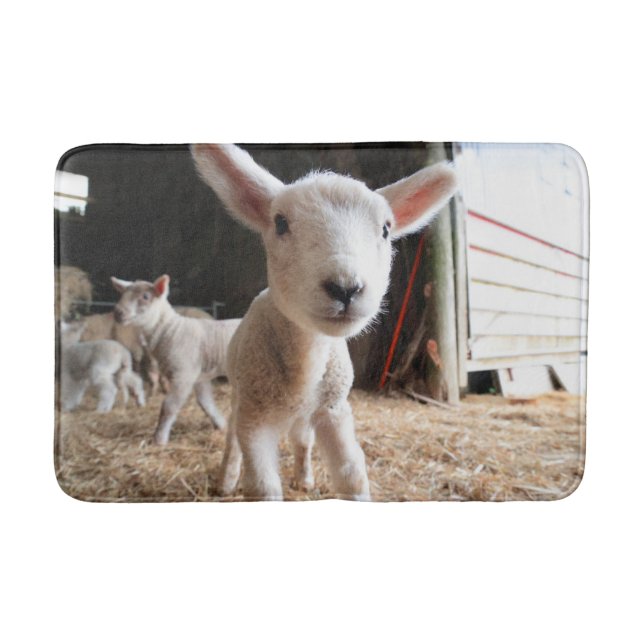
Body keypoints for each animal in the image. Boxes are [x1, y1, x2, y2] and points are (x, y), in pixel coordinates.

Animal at [111, 276, 241, 445]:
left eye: (145, 297)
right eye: (122, 294)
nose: (118, 312)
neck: (171, 330)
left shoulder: (183, 374)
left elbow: (169, 406)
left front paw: (159, 439)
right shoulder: (199, 376)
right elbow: (205, 402)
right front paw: (220, 424)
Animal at [191, 144, 457, 501]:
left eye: (386, 229)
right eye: (280, 223)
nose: (346, 288)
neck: (307, 362)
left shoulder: (333, 409)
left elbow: (351, 475)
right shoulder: (255, 417)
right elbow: (262, 486)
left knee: (302, 440)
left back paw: (303, 478)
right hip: (241, 398)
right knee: (233, 437)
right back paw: (226, 479)